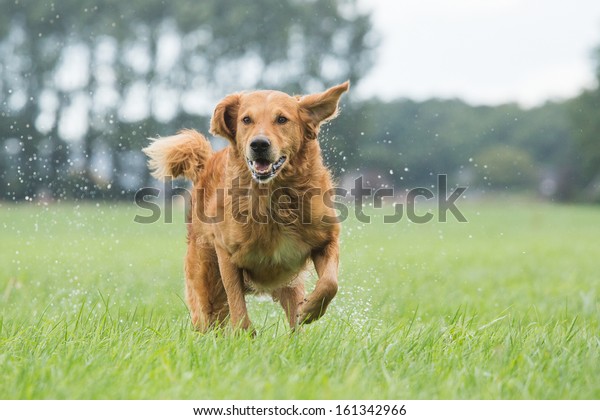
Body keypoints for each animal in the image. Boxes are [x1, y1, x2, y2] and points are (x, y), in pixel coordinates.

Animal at [144, 82, 350, 332]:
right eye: (246, 119)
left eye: (282, 119)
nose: (259, 144)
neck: (273, 197)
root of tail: (206, 165)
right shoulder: (227, 255)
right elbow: (237, 304)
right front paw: (246, 335)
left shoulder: (326, 239)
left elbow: (330, 283)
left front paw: (310, 310)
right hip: (207, 284)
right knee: (208, 318)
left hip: (288, 284)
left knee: (294, 318)